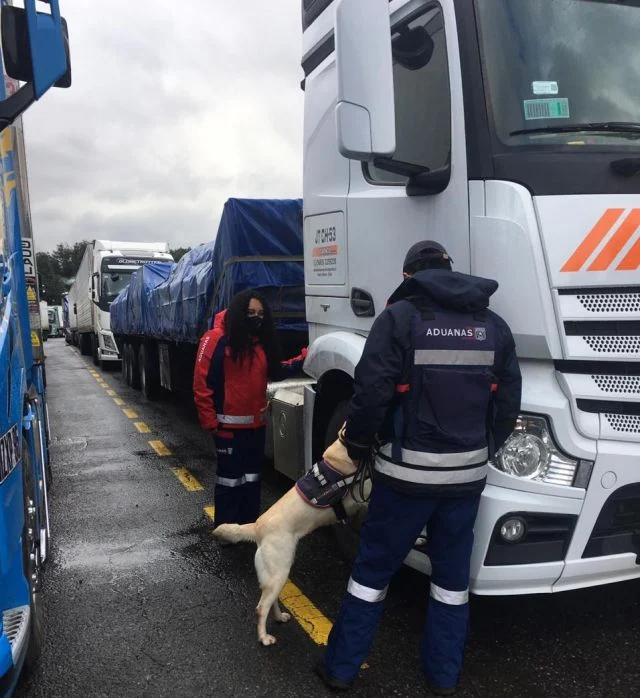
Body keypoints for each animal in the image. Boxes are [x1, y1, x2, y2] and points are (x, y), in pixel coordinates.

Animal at [212, 438, 368, 644]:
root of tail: (257, 526)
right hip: (279, 572)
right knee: (261, 608)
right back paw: (264, 638)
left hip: (276, 576)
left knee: (271, 601)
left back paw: (279, 617)